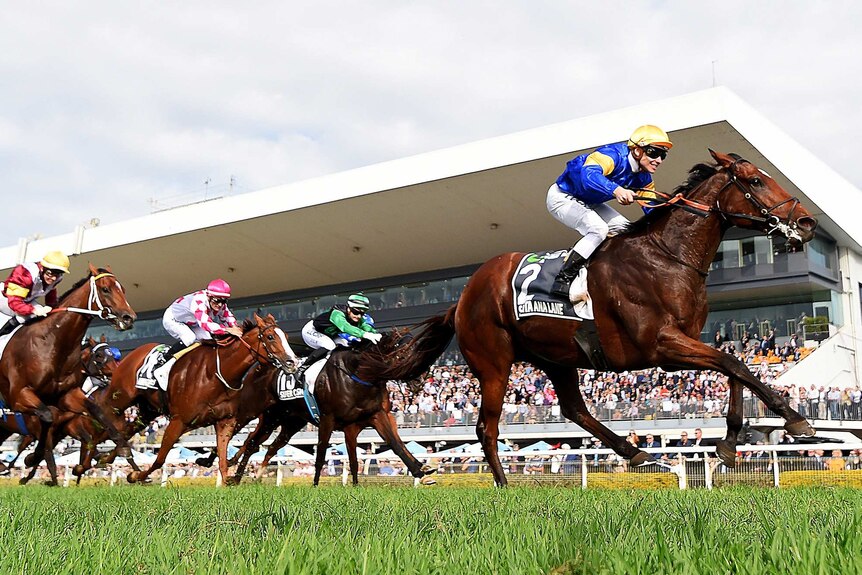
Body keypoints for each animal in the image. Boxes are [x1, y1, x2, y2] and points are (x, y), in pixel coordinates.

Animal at [0, 268, 136, 484]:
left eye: (122, 289)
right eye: (105, 289)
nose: (129, 317)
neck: (52, 341)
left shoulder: (66, 396)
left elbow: (95, 412)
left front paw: (122, 448)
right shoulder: (19, 396)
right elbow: (47, 421)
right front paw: (35, 461)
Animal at [104, 316, 296, 486]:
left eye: (287, 337)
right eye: (270, 337)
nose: (292, 362)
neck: (214, 375)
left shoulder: (225, 422)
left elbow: (223, 462)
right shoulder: (178, 421)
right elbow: (159, 460)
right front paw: (135, 476)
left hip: (148, 410)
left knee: (127, 431)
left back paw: (106, 457)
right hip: (120, 399)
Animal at [382, 152, 820, 486]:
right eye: (755, 181)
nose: (807, 222)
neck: (668, 258)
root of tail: (461, 299)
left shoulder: (687, 342)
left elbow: (735, 368)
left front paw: (729, 442)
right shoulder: (661, 346)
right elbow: (735, 364)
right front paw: (796, 420)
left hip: (555, 358)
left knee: (575, 410)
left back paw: (638, 454)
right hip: (494, 364)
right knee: (486, 429)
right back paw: (504, 485)